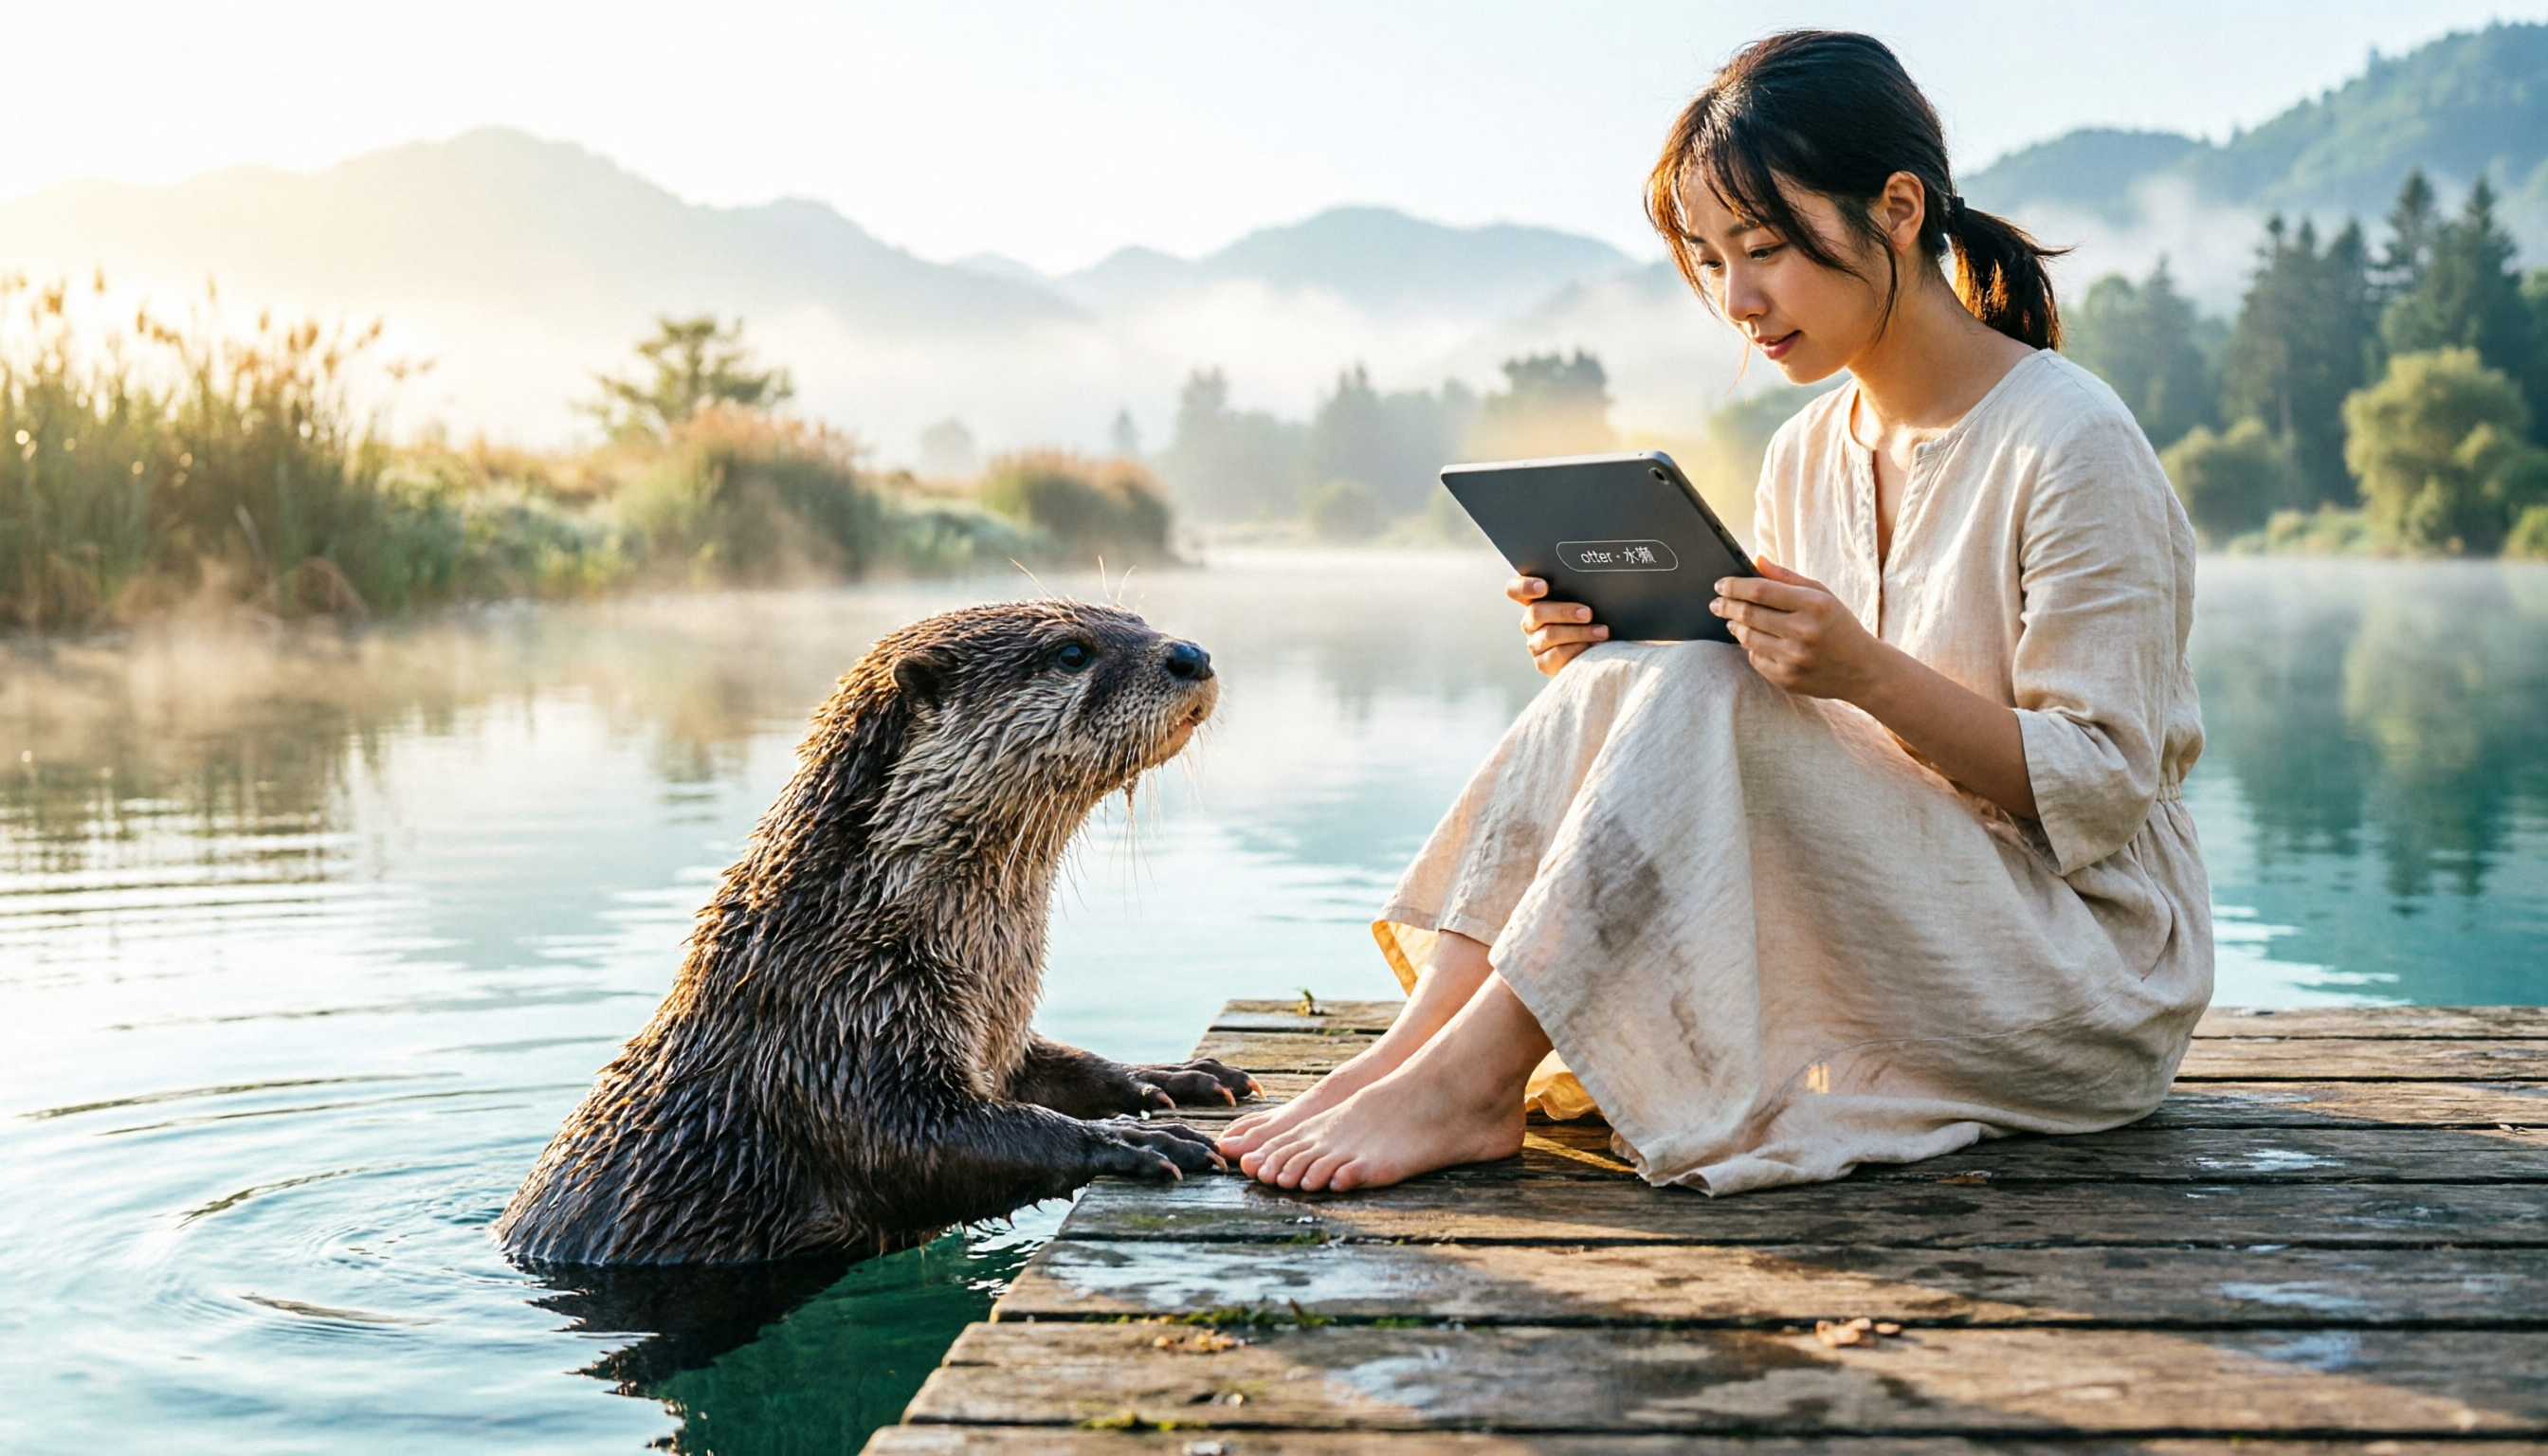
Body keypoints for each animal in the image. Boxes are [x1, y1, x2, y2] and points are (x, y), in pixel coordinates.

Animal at [496, 600, 1256, 1266]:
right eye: (1073, 652)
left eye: (1137, 618)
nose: (1191, 655)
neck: (852, 920)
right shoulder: (832, 1033)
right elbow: (921, 1144)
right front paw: (1136, 1143)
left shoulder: (990, 1035)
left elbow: (1057, 1070)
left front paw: (1175, 1077)